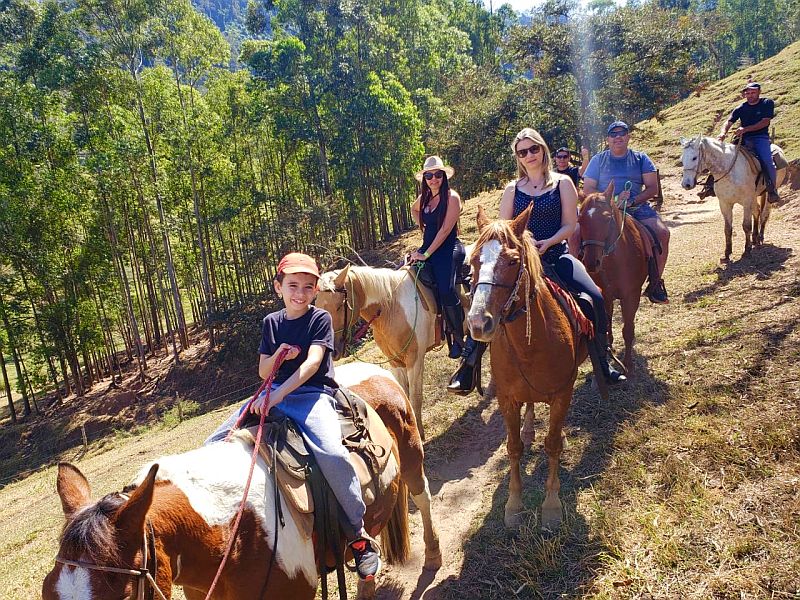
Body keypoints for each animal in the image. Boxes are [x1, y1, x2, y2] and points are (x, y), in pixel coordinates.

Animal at [42, 360, 444, 600]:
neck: (230, 535)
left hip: (412, 458)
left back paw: (433, 554)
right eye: (47, 591)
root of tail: (372, 367)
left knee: (422, 499)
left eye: (124, 595)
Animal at [468, 205, 588, 528]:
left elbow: (552, 445)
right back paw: (528, 429)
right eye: (472, 261)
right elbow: (513, 448)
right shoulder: (507, 399)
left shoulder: (563, 393)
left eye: (512, 261)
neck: (530, 347)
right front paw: (513, 504)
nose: (478, 323)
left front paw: (551, 505)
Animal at [580, 185, 648, 378]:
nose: (590, 262)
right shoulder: (605, 294)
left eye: (607, 218)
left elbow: (628, 329)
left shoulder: (631, 296)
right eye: (580, 219)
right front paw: (609, 347)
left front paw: (628, 365)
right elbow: (607, 322)